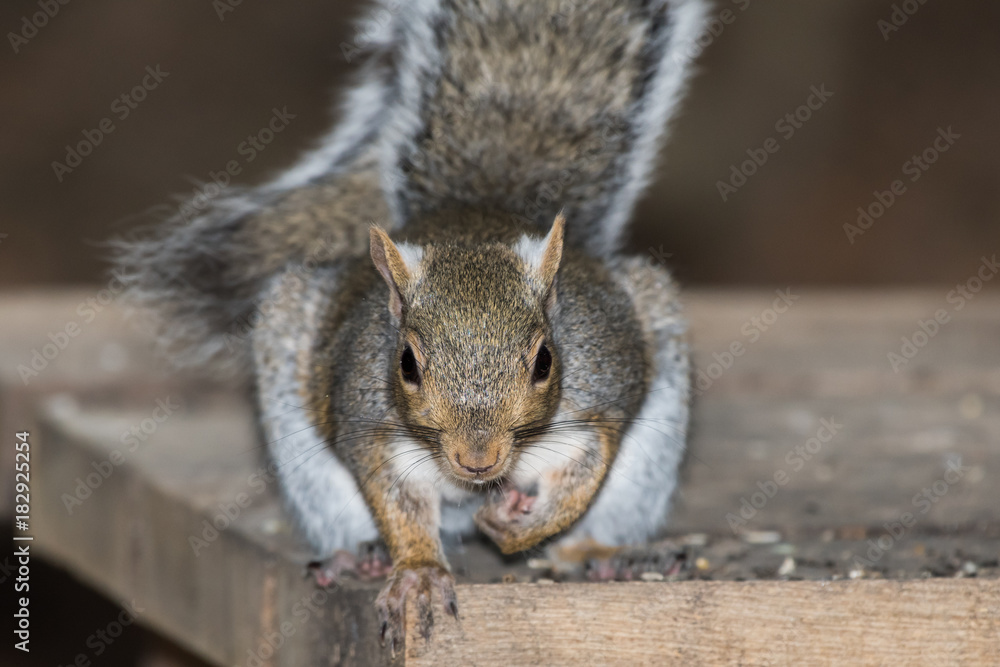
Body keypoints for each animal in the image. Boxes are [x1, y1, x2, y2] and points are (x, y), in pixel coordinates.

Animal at [115, 0, 706, 652]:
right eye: (406, 364)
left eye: (545, 361)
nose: (478, 459)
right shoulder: (371, 426)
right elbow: (396, 500)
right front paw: (419, 572)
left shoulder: (598, 400)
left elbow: (583, 478)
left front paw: (522, 526)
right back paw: (361, 556)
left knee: (600, 519)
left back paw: (606, 554)